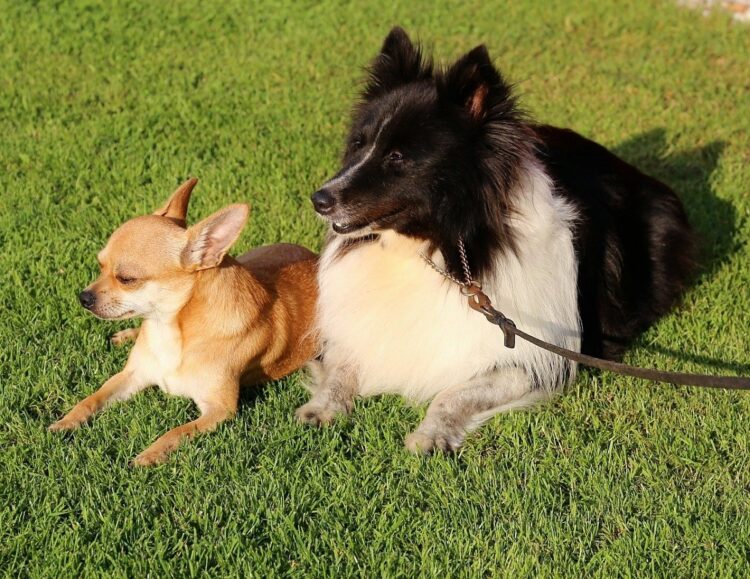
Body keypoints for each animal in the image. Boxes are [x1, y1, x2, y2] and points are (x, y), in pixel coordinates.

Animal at [296, 28, 696, 454]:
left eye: (398, 156)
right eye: (359, 144)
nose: (319, 200)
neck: (436, 248)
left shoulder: (535, 356)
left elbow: (455, 393)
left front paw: (431, 434)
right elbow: (342, 364)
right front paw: (322, 406)